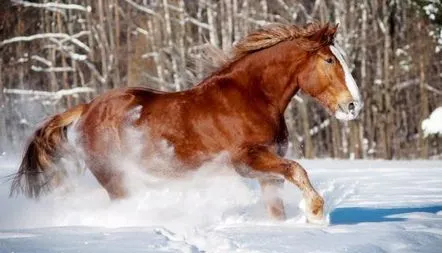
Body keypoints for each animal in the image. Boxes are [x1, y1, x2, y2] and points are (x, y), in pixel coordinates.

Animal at [10, 22, 362, 223]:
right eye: (329, 60)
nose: (353, 105)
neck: (252, 97)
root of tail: (87, 109)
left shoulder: (266, 169)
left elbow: (277, 206)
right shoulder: (247, 160)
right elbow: (297, 169)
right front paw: (316, 213)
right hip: (115, 177)